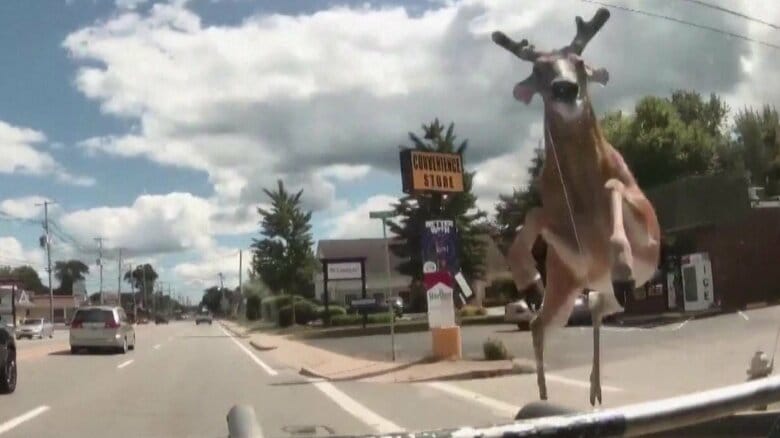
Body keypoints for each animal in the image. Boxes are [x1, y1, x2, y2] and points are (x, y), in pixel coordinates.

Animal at [494, 6, 660, 406]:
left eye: (581, 63)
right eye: (538, 70)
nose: (564, 88)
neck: (585, 204)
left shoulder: (649, 230)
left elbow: (615, 185)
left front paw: (623, 264)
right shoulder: (572, 251)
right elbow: (534, 213)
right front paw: (527, 278)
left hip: (602, 290)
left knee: (599, 307)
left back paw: (593, 388)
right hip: (565, 285)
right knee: (541, 323)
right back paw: (548, 394)